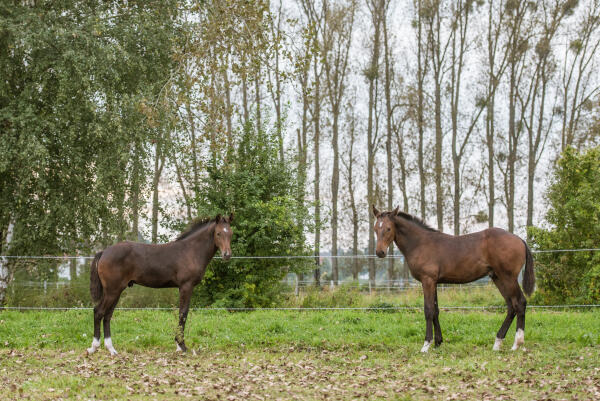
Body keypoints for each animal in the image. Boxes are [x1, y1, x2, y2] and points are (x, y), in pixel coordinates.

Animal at [88, 212, 233, 354]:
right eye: (218, 233)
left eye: (231, 233)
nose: (227, 255)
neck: (191, 251)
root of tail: (104, 252)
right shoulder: (186, 286)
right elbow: (183, 313)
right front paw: (182, 345)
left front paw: (178, 345)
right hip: (112, 291)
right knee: (99, 312)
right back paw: (94, 347)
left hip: (116, 291)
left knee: (107, 316)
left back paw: (111, 348)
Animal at [370, 205, 536, 352]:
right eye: (375, 228)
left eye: (388, 228)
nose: (380, 252)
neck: (420, 243)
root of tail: (519, 239)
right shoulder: (434, 282)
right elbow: (436, 310)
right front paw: (438, 343)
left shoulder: (427, 280)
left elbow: (428, 310)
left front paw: (426, 345)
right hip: (497, 277)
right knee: (511, 306)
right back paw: (497, 343)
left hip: (508, 277)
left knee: (520, 303)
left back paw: (516, 344)